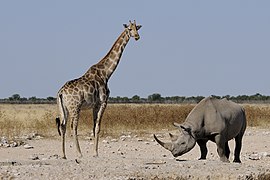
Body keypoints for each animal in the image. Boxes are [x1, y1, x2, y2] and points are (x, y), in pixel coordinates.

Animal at [56, 20, 142, 159]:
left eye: (137, 28)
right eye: (129, 29)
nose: (137, 36)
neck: (106, 73)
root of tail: (61, 92)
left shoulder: (94, 105)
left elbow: (93, 127)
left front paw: (94, 152)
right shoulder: (103, 102)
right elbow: (98, 127)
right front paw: (96, 153)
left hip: (64, 108)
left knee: (63, 126)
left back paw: (63, 154)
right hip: (75, 107)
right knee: (73, 126)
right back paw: (79, 153)